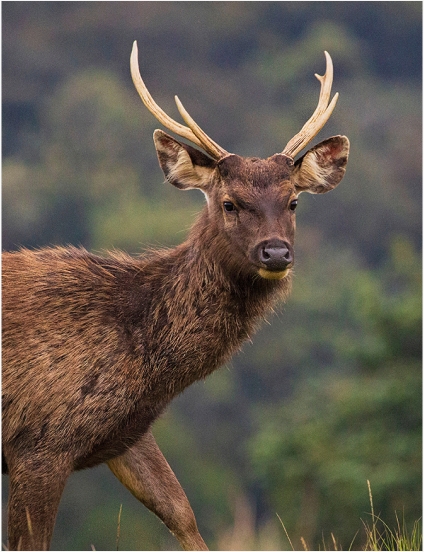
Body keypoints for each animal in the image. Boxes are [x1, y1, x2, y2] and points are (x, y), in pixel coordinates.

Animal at [1, 41, 350, 548]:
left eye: (294, 201)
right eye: (229, 203)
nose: (276, 252)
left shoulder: (125, 432)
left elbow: (181, 512)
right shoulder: (39, 440)